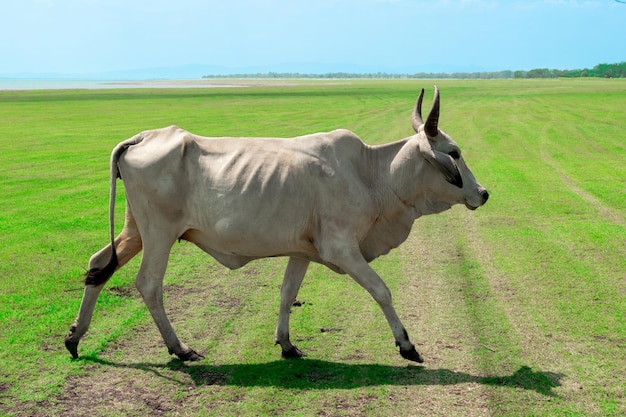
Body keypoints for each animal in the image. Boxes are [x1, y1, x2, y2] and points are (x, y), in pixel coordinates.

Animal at [67, 87, 488, 360]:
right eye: (454, 152)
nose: (483, 193)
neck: (371, 173)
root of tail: (142, 137)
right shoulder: (342, 249)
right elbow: (381, 291)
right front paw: (406, 344)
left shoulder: (302, 251)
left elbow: (287, 295)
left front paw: (286, 344)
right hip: (159, 234)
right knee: (149, 285)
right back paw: (179, 348)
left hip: (135, 231)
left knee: (98, 265)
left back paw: (74, 337)